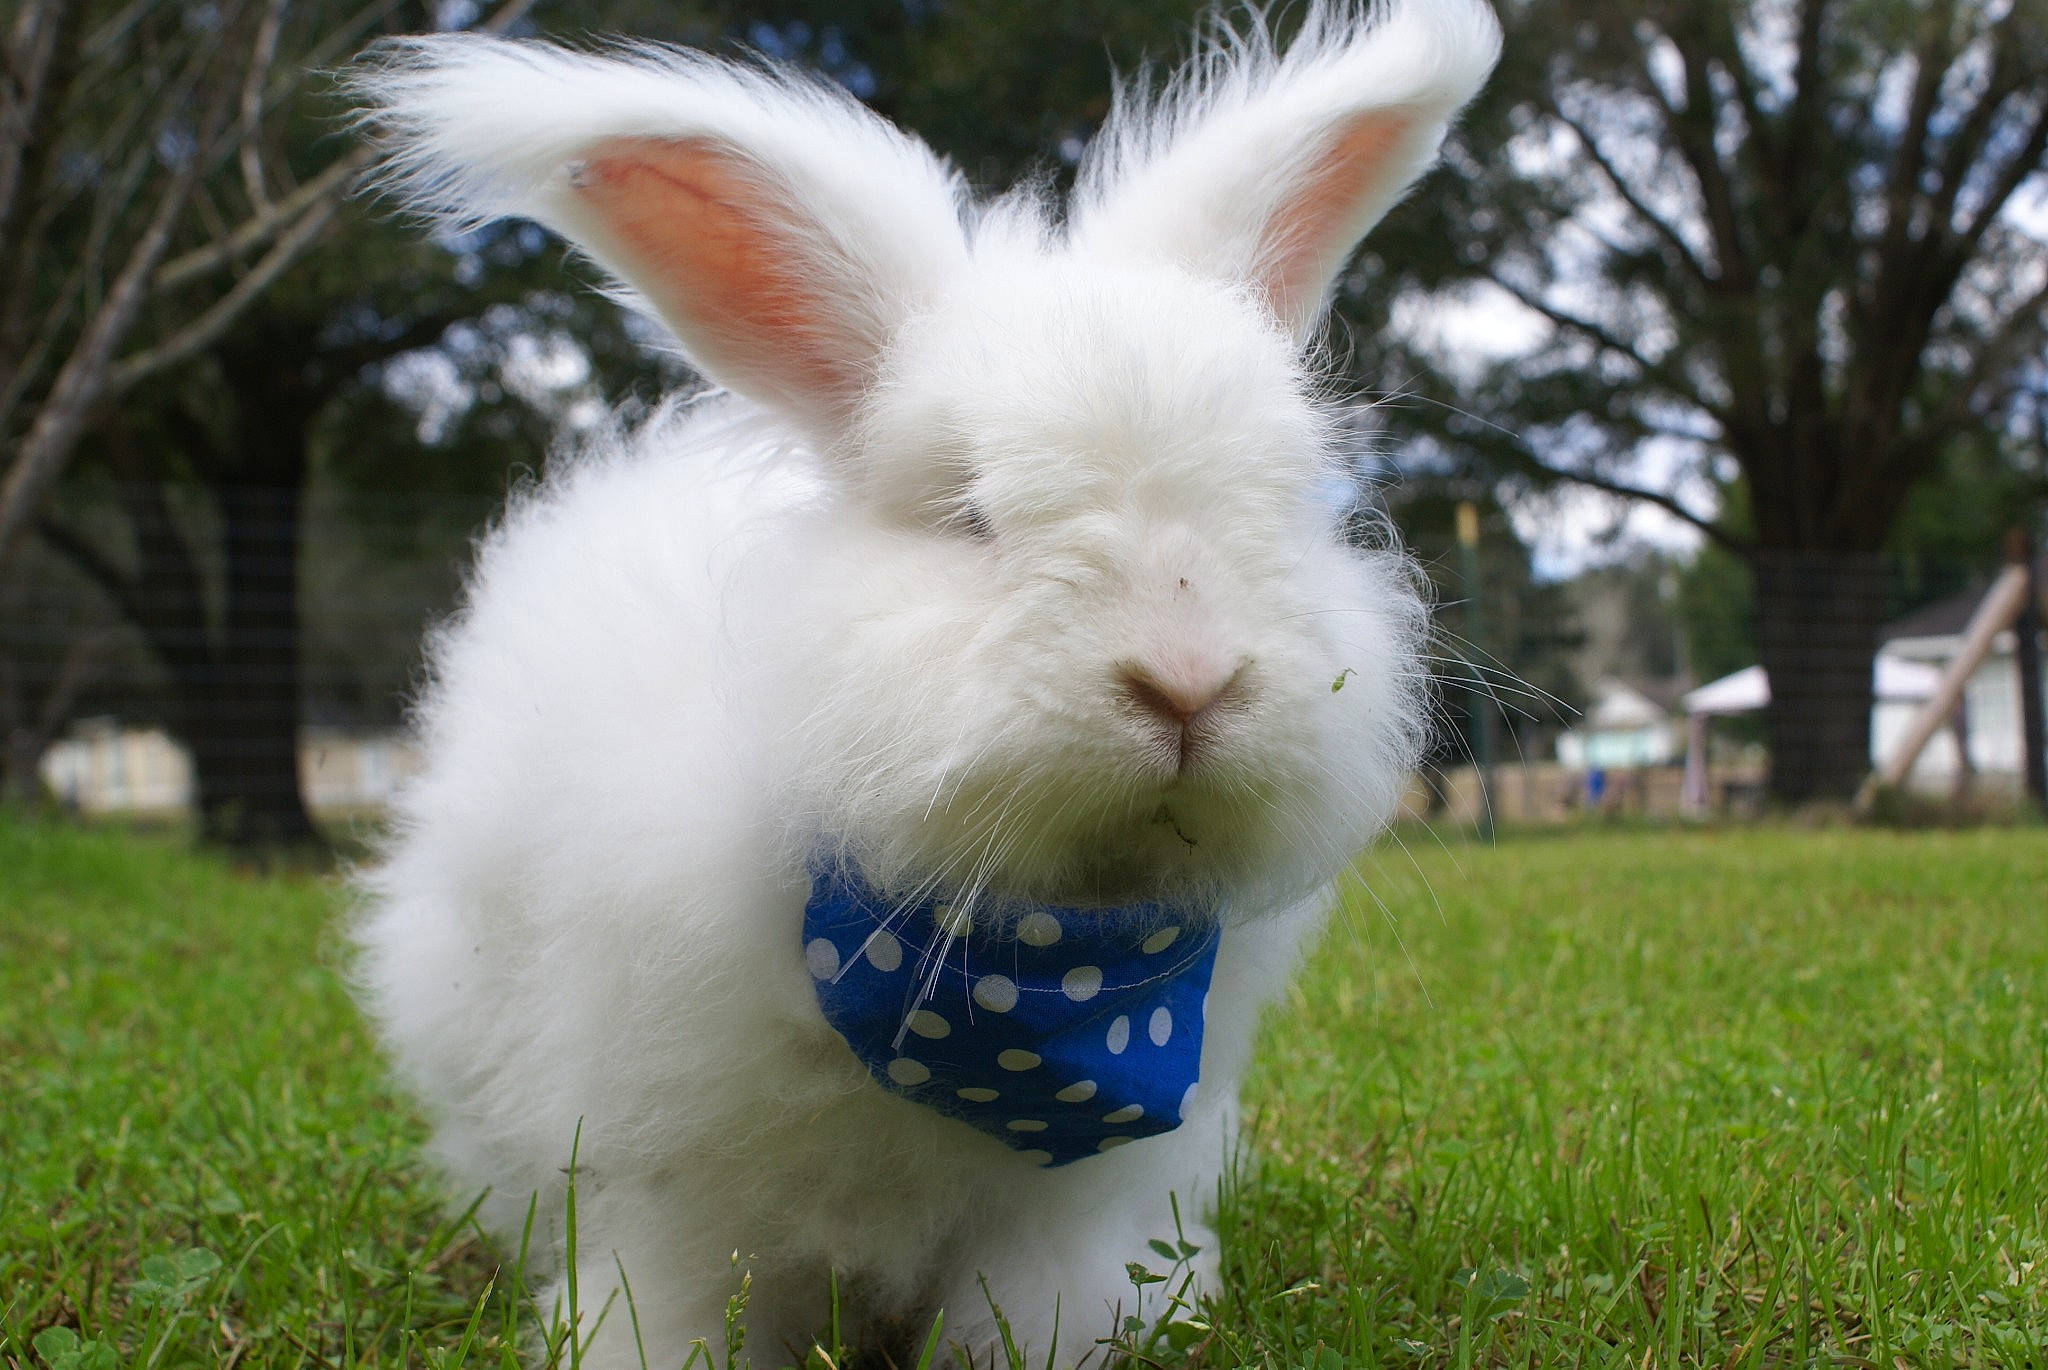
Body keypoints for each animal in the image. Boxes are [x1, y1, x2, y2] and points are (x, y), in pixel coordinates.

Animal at [350, 1, 1498, 1365]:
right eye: (966, 512)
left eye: (1270, 506)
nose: (1184, 681)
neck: (1024, 970)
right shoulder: (668, 1179)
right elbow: (674, 1298)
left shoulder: (1068, 1199)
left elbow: (1034, 1303)